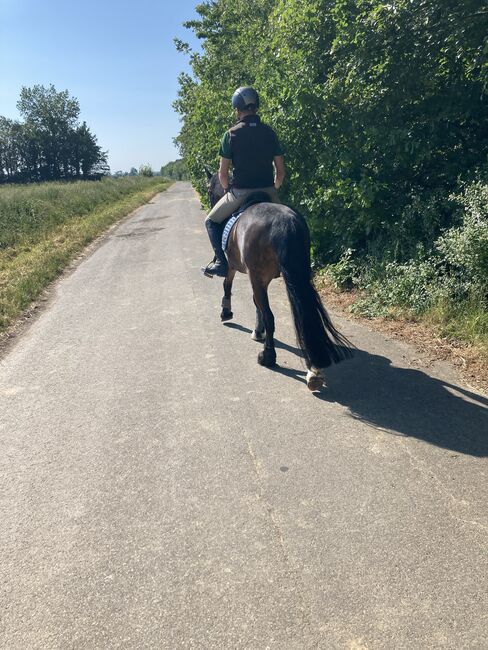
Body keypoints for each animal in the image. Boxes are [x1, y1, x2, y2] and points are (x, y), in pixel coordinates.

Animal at [202, 168, 350, 390]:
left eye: (210, 190)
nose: (211, 203)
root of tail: (285, 222)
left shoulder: (236, 268)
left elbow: (228, 285)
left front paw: (226, 312)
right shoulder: (261, 278)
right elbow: (257, 304)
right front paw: (258, 331)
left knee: (272, 316)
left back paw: (268, 357)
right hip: (295, 276)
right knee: (302, 313)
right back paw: (313, 370)